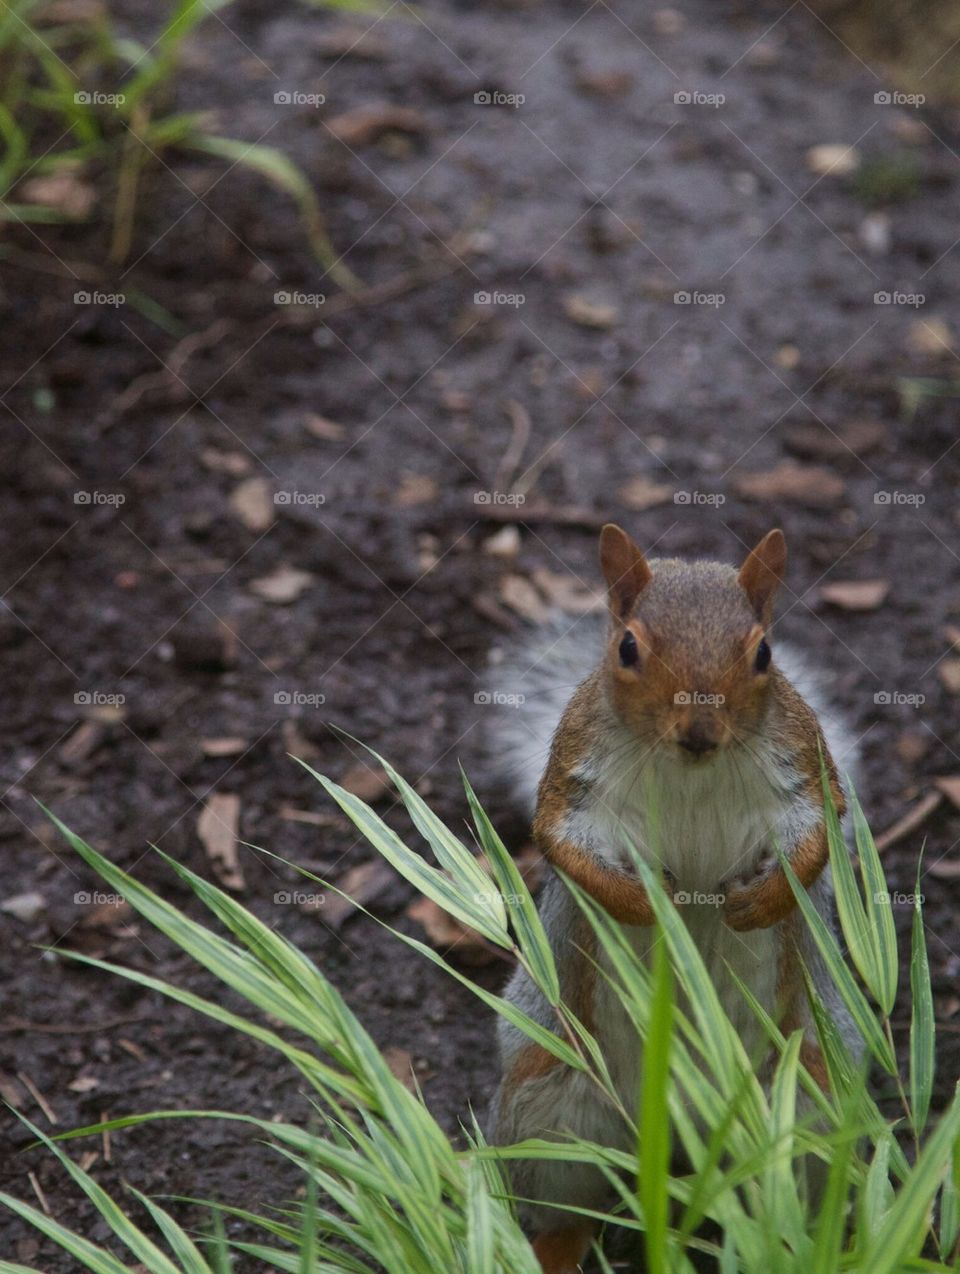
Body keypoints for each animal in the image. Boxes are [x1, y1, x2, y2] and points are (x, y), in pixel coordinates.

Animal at [487, 524, 863, 1274]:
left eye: (764, 654)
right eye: (627, 648)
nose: (699, 732)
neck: (689, 768)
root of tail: (679, 1133)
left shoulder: (803, 763)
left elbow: (818, 842)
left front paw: (758, 904)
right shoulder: (574, 775)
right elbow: (564, 845)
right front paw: (644, 902)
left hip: (806, 1101)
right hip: (551, 1105)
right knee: (570, 1208)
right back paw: (553, 1250)